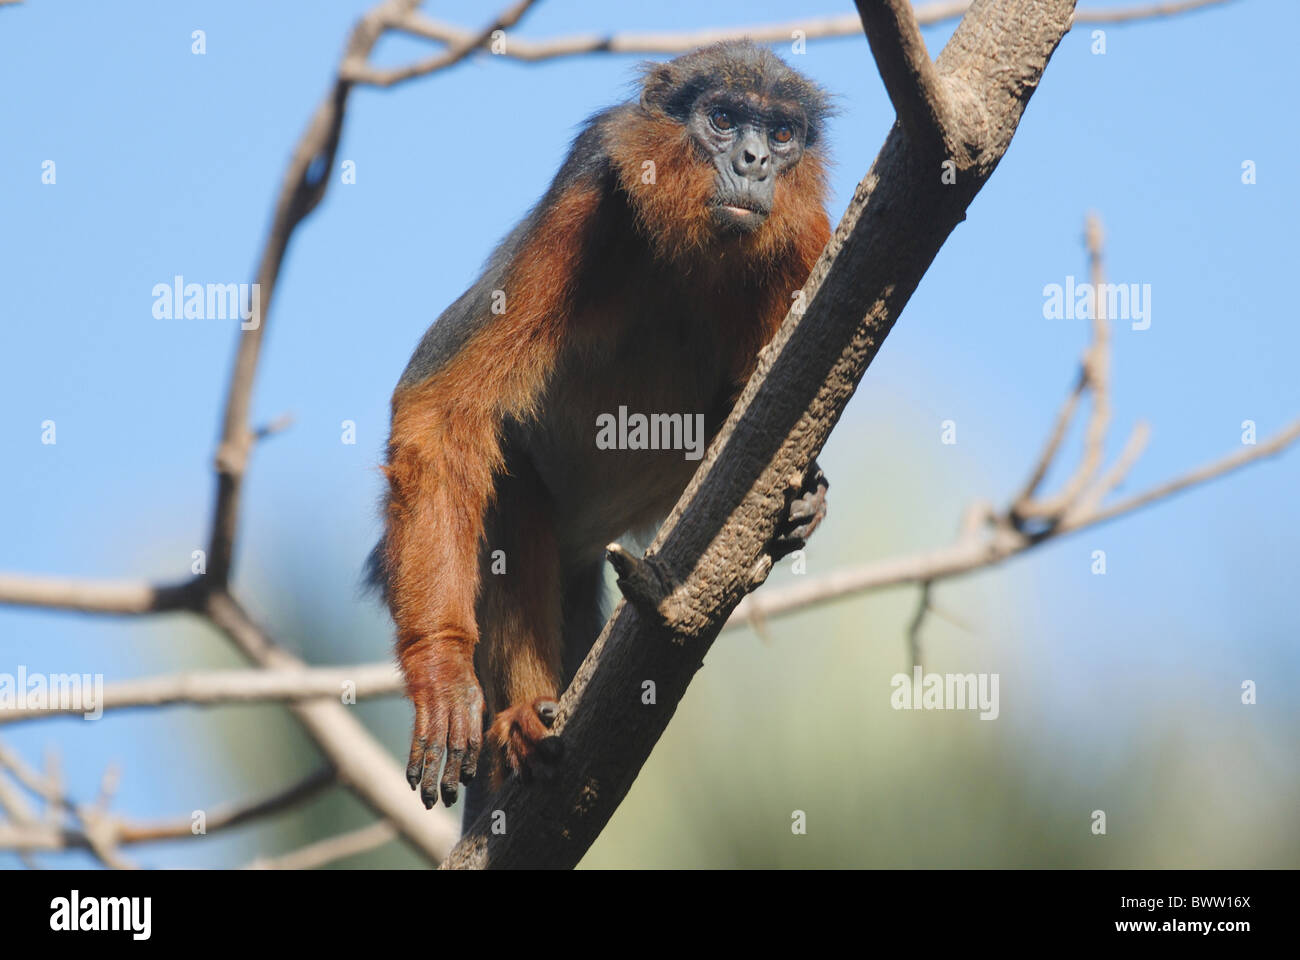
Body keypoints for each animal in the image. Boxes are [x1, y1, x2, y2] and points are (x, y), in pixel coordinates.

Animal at [369, 40, 833, 817]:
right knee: (507, 486)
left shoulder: (809, 243)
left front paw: (801, 501)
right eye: (723, 119)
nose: (753, 162)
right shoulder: (590, 189)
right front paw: (441, 671)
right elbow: (439, 409)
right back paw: (523, 719)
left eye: (782, 134)